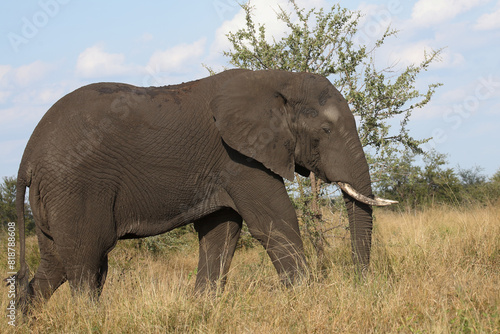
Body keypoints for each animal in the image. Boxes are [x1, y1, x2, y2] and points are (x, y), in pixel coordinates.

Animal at [15, 68, 396, 314]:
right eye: (326, 130)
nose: (362, 285)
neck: (275, 80)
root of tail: (28, 156)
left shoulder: (225, 166)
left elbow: (221, 232)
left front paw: (203, 308)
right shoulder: (240, 157)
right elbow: (276, 222)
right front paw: (306, 301)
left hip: (56, 194)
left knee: (55, 265)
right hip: (76, 186)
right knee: (86, 262)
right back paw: (91, 320)